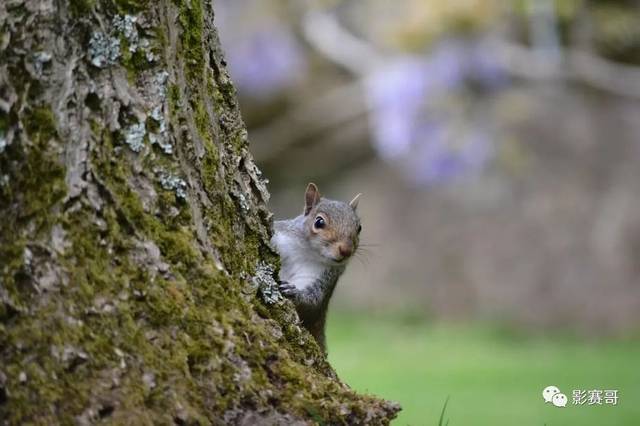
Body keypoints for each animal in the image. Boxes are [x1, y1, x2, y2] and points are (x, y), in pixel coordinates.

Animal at [270, 183, 360, 352]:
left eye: (359, 228)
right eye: (319, 222)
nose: (346, 250)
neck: (308, 252)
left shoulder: (325, 277)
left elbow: (312, 303)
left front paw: (293, 292)